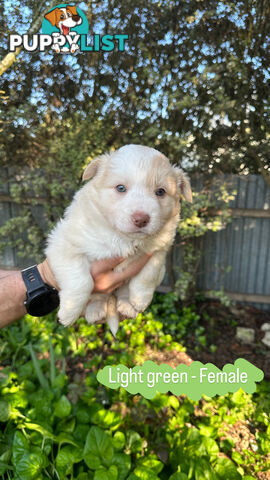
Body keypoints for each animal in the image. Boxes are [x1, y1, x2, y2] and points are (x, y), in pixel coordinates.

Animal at [45, 144, 192, 336]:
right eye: (121, 188)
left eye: (160, 192)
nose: (141, 219)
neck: (123, 237)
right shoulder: (63, 245)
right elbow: (82, 281)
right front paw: (68, 313)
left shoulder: (158, 251)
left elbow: (147, 275)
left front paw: (140, 300)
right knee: (98, 296)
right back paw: (95, 311)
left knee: (121, 293)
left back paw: (126, 306)